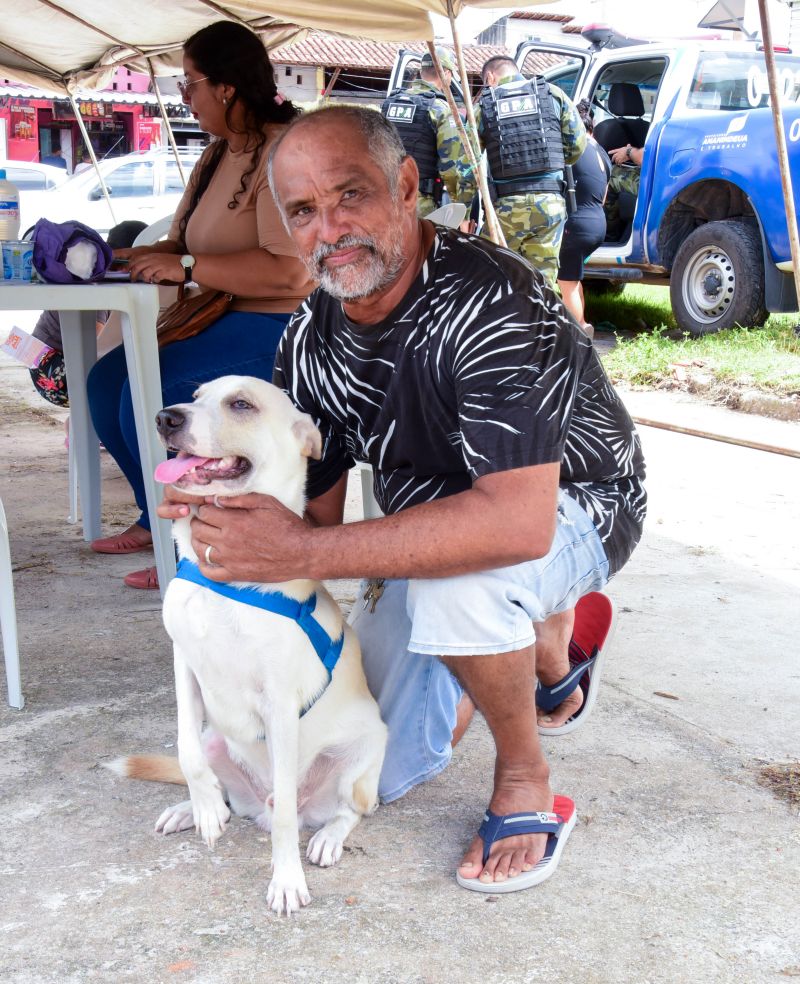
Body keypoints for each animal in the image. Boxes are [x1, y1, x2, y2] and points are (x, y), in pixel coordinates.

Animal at [109, 374, 388, 916]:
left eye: (242, 405)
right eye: (196, 397)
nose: (165, 417)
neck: (226, 580)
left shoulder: (279, 705)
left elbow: (284, 819)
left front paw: (286, 880)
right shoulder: (185, 668)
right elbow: (186, 753)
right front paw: (202, 808)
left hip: (362, 756)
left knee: (344, 810)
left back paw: (326, 838)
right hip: (219, 739)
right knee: (227, 789)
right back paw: (193, 809)